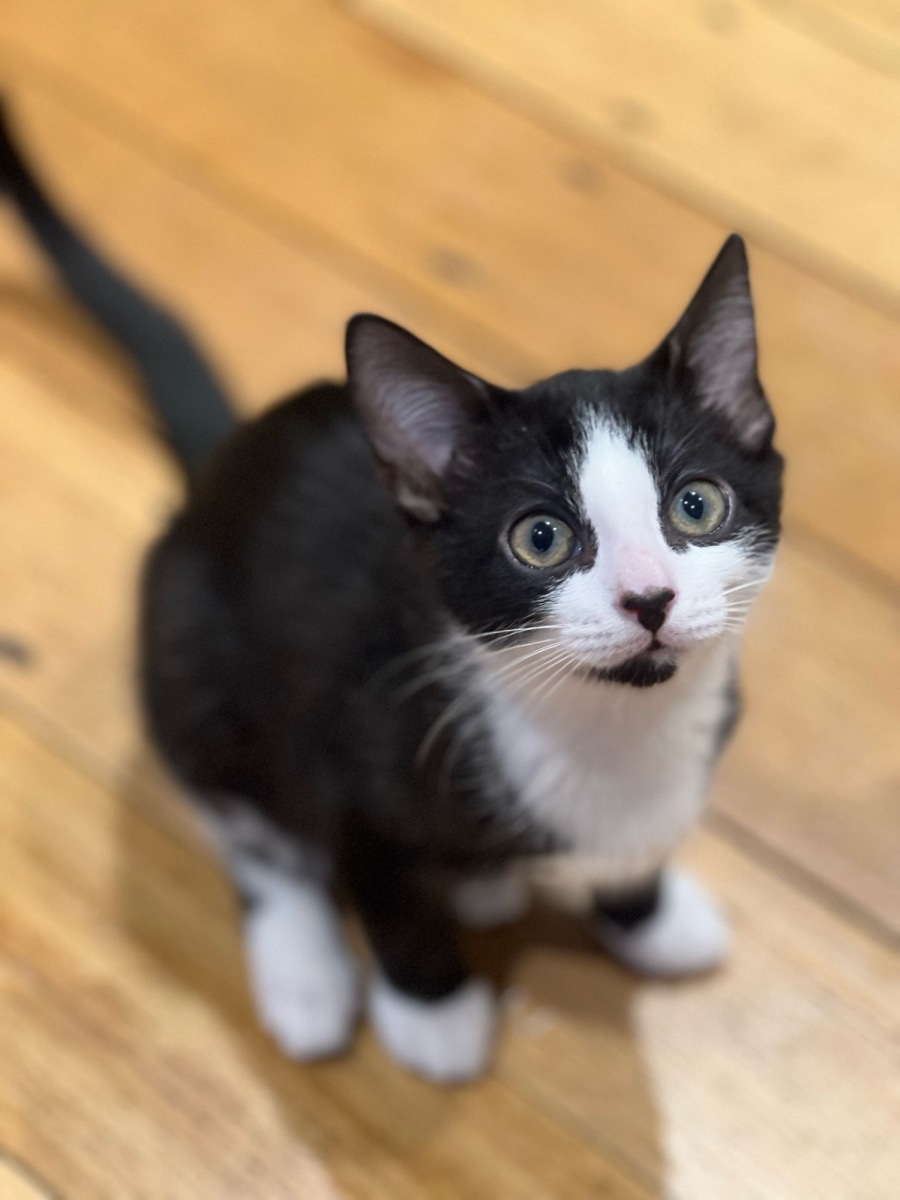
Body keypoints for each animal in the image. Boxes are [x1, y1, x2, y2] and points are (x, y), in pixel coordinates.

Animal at [1, 102, 783, 1083]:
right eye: (540, 539)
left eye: (697, 505)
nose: (650, 597)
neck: (609, 731)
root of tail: (216, 472)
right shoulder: (351, 759)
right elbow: (386, 896)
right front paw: (431, 1013)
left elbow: (641, 849)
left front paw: (652, 917)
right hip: (181, 649)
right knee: (247, 826)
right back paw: (306, 974)